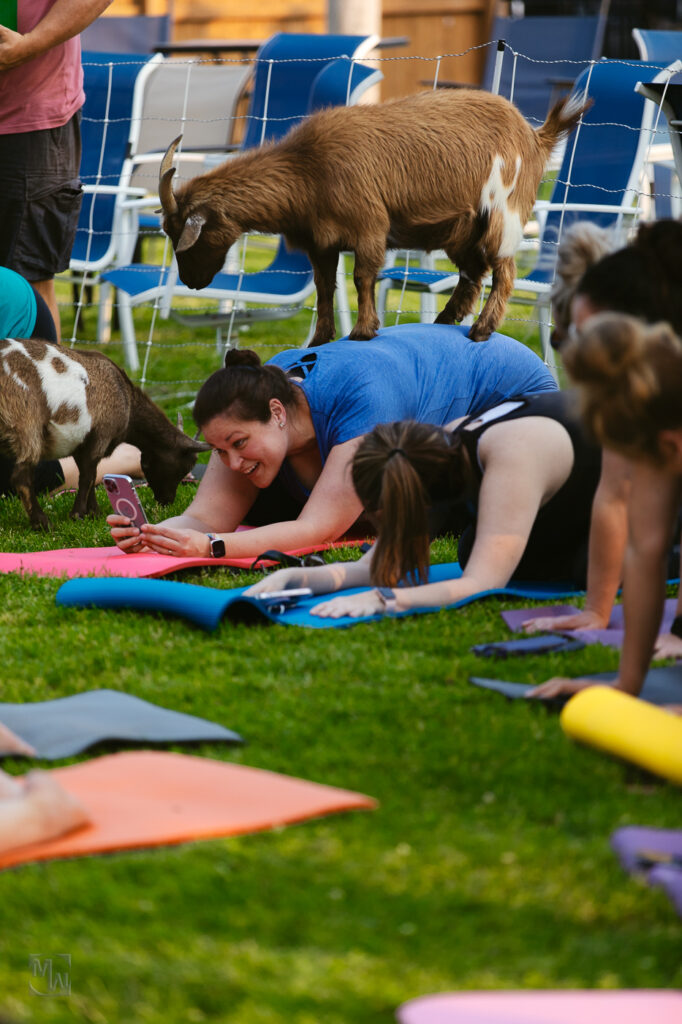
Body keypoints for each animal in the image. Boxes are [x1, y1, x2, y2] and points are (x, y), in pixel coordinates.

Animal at [0, 337, 208, 528]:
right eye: (182, 468)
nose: (166, 501)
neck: (127, 401)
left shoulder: (83, 443)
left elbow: (90, 475)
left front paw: (94, 513)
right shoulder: (100, 436)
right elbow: (88, 477)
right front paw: (78, 515)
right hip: (27, 424)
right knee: (22, 477)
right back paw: (43, 523)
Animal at [159, 89, 589, 344]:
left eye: (185, 234)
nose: (192, 283)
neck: (306, 169)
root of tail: (535, 136)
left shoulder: (368, 225)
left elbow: (362, 277)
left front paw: (363, 332)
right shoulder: (321, 242)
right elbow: (324, 286)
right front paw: (321, 339)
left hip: (504, 213)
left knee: (504, 270)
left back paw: (481, 330)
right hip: (463, 229)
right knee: (473, 273)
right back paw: (445, 321)